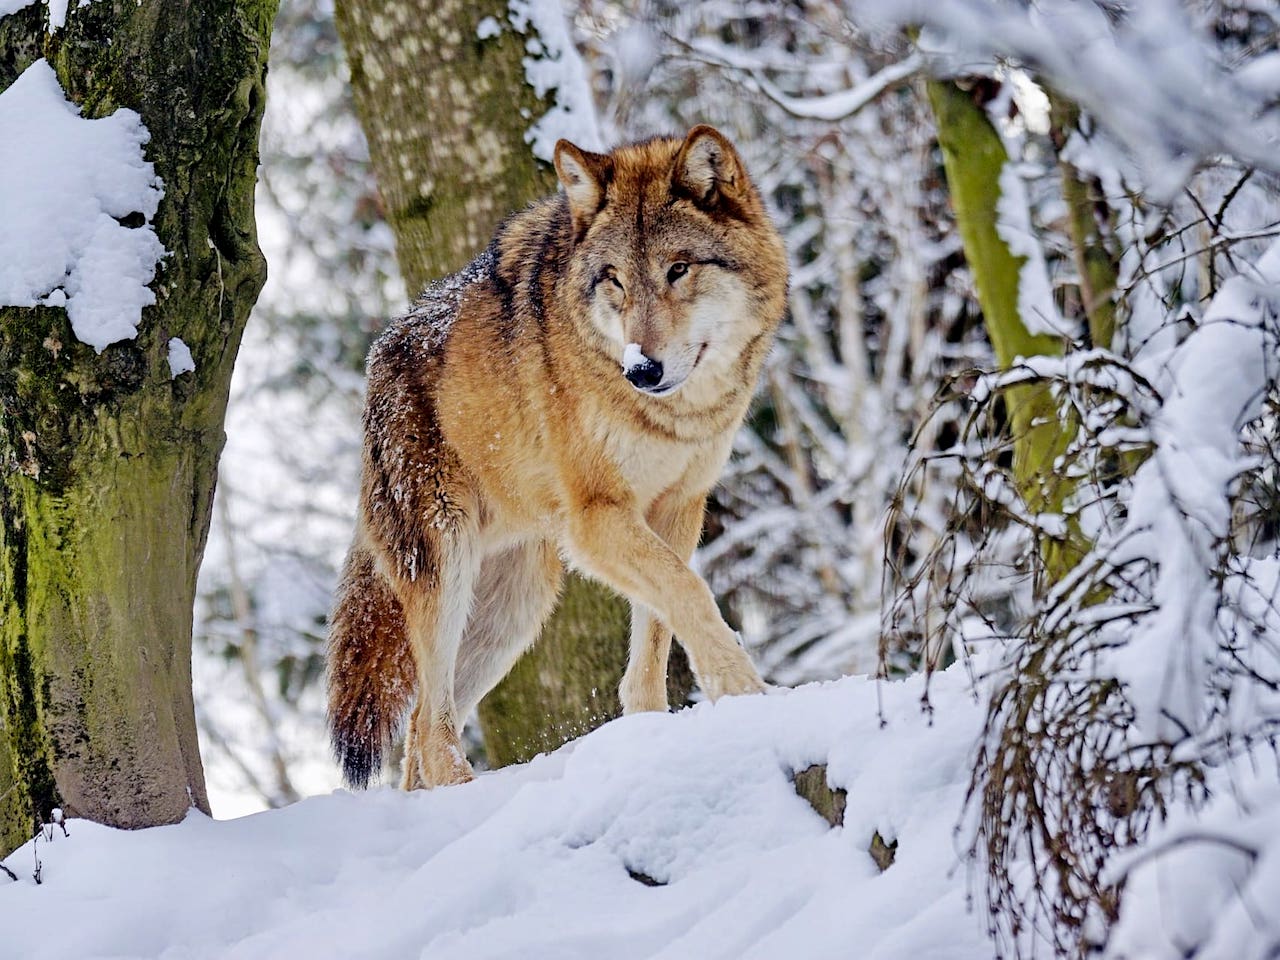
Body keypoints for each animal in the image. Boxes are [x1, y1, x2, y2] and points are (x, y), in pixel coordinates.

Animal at [327, 126, 788, 788]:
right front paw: (747, 694)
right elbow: (692, 594)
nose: (641, 370)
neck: (673, 417)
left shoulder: (678, 509)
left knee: (418, 729)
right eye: (615, 279)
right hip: (447, 571)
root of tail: (377, 360)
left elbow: (657, 631)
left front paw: (654, 733)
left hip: (514, 610)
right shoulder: (597, 519)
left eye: (678, 269)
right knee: (429, 726)